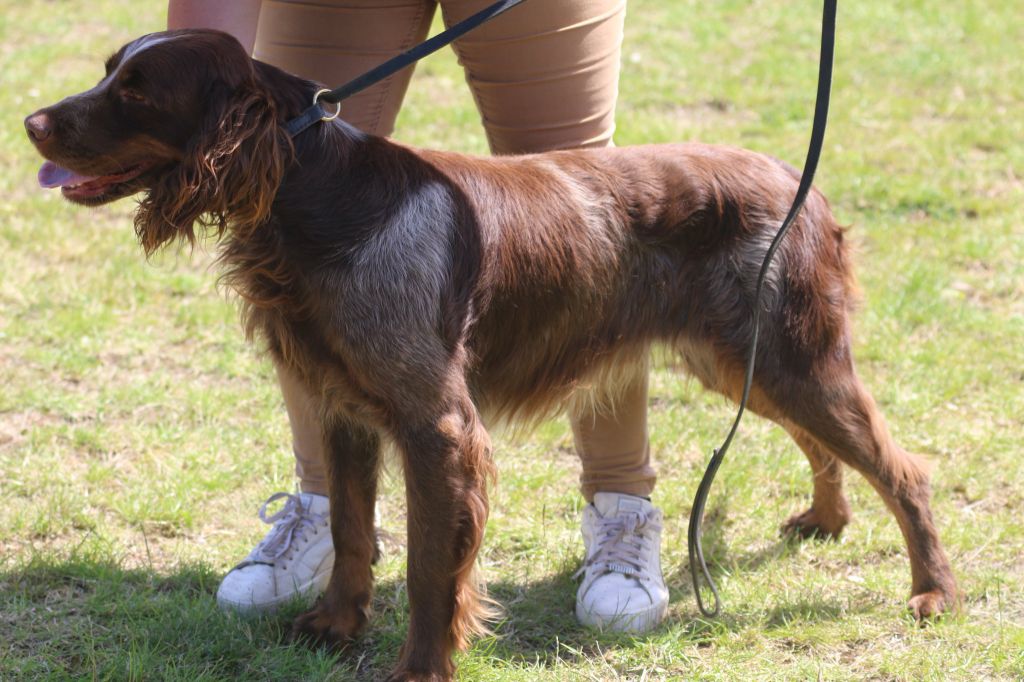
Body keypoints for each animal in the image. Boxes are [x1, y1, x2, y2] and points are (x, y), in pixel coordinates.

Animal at [25, 29, 957, 682]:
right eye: (109, 71)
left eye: (138, 91)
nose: (31, 121)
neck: (318, 194)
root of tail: (799, 182)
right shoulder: (345, 406)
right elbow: (353, 532)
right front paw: (334, 627)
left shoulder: (438, 426)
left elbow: (431, 565)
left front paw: (419, 667)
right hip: (750, 363)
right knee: (829, 448)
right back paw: (827, 520)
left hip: (790, 359)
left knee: (901, 468)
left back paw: (934, 590)